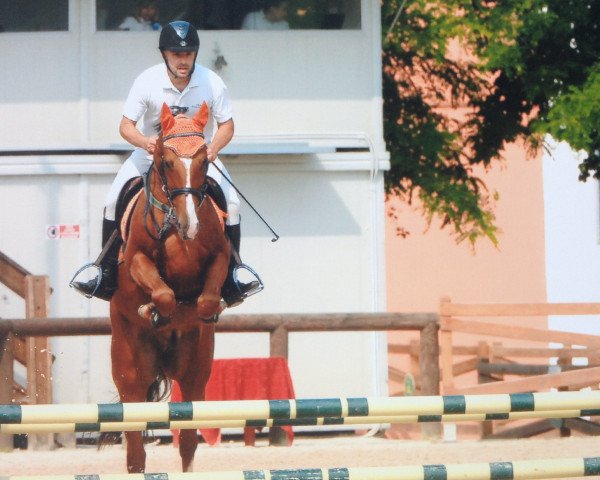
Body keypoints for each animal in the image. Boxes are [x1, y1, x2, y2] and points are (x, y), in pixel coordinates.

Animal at [108, 102, 230, 472]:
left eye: (204, 161)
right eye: (166, 161)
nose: (190, 224)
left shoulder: (220, 256)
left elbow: (205, 301)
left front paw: (199, 310)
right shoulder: (135, 259)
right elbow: (162, 292)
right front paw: (154, 310)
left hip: (194, 374)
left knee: (188, 440)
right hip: (130, 374)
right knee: (135, 449)